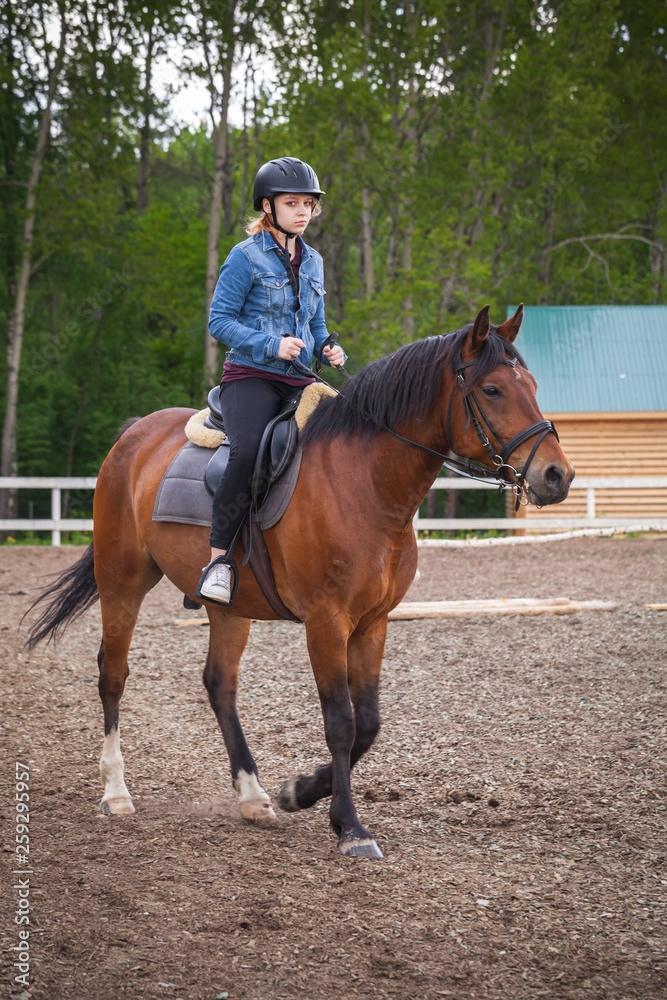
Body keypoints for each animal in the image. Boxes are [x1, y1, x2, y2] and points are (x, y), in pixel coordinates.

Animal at [26, 304, 576, 860]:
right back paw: (116, 792)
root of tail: (135, 434)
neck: (366, 482)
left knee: (220, 684)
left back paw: (253, 796)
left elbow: (368, 723)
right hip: (123, 581)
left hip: (229, 608)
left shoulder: (373, 623)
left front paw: (301, 791)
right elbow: (340, 722)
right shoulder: (326, 622)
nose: (558, 476)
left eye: (531, 383)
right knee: (113, 674)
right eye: (493, 390)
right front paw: (350, 827)